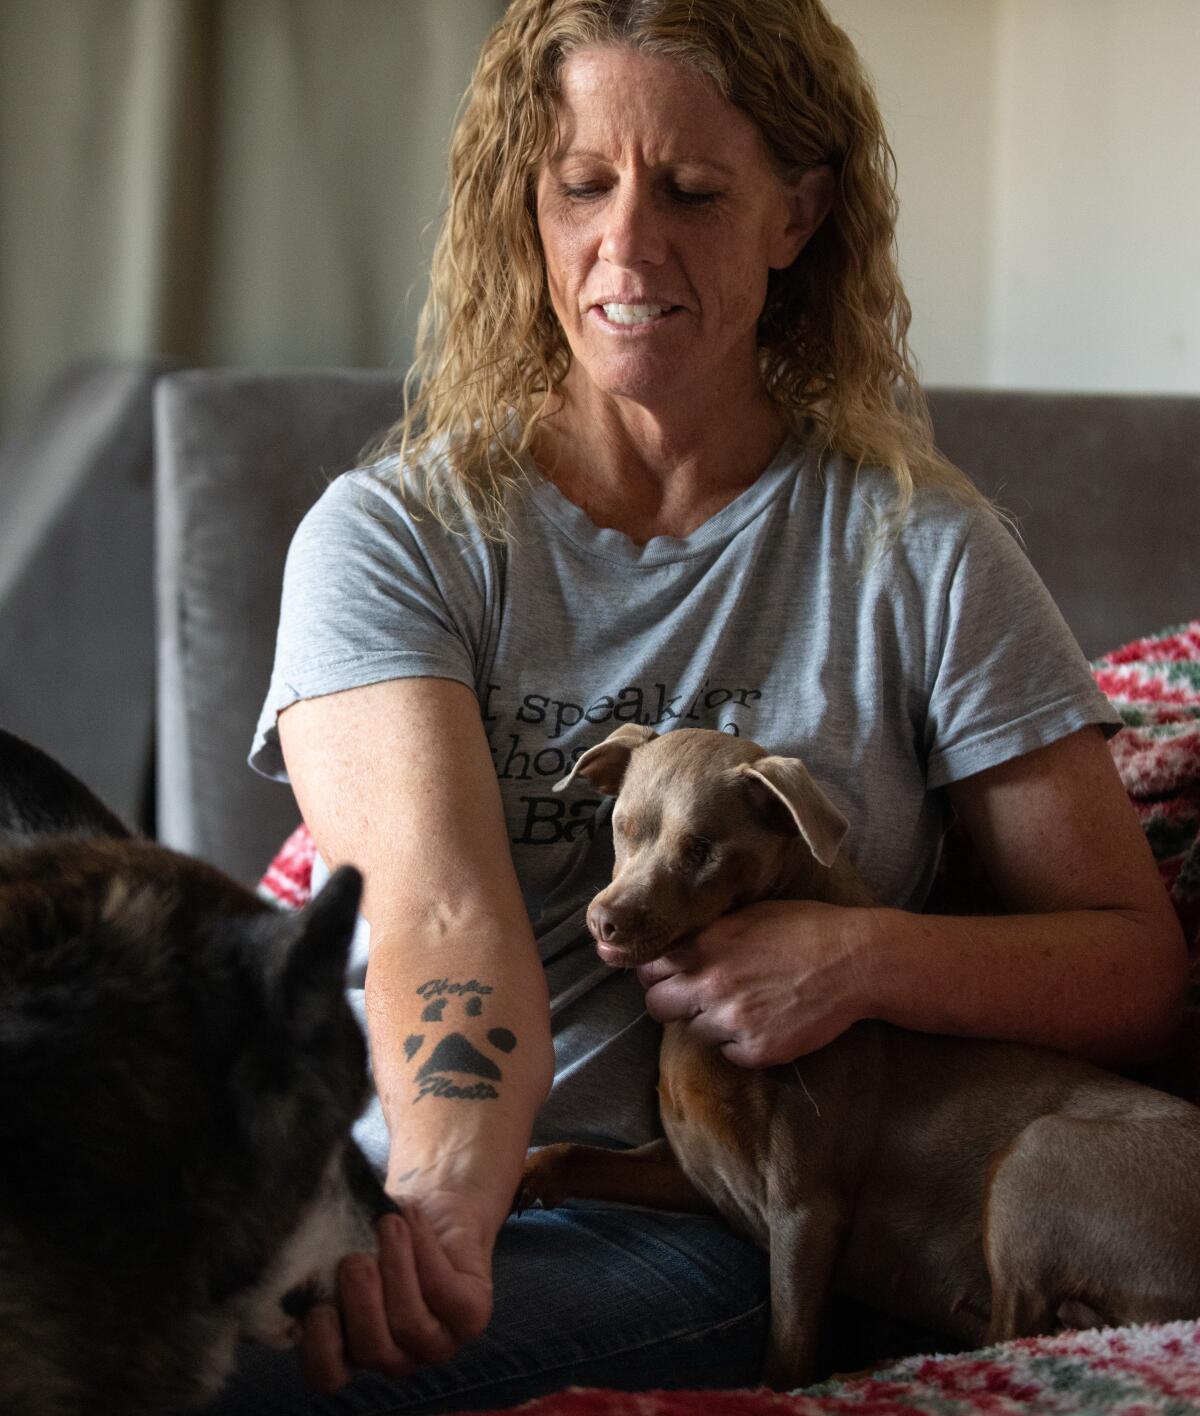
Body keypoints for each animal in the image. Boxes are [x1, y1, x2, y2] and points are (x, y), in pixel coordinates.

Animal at [521, 724, 1200, 1387]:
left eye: (702, 848)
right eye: (622, 827)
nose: (604, 922)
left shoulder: (805, 1213)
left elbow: (786, 1357)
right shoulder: (700, 1177)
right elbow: (571, 1154)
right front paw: (522, 1180)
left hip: (1042, 1155)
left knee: (1015, 1330)